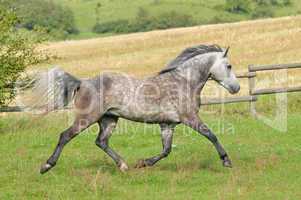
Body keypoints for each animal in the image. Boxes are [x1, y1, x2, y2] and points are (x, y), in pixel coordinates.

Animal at [34, 43, 239, 173]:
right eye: (229, 66)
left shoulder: (168, 124)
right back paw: (46, 166)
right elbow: (211, 135)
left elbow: (166, 150)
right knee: (66, 136)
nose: (236, 88)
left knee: (101, 142)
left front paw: (143, 163)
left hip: (109, 119)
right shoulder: (190, 118)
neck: (184, 82)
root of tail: (82, 82)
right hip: (87, 118)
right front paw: (226, 161)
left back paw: (124, 166)